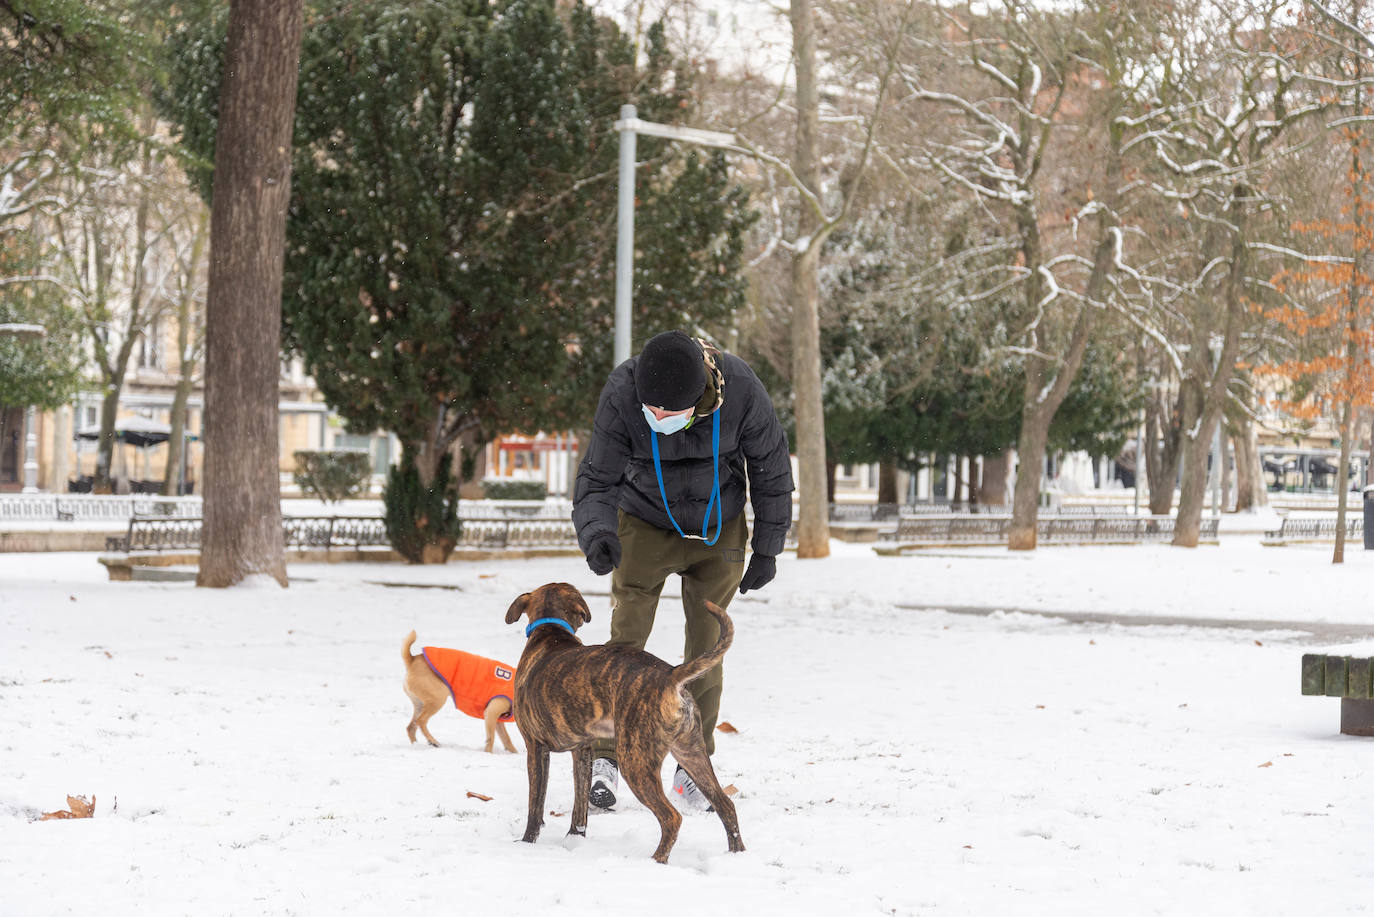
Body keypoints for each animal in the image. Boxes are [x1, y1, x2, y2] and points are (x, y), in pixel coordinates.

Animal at [502, 585, 741, 863]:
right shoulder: (582, 751)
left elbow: (535, 804)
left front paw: (527, 842)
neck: (551, 631)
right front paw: (575, 839)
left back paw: (656, 860)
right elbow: (580, 804)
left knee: (672, 818)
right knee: (726, 805)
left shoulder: (535, 747)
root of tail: (671, 675)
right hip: (691, 753)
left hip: (635, 762)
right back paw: (737, 855)